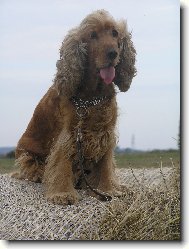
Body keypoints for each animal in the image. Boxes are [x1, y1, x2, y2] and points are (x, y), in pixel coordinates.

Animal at [12, 9, 137, 204]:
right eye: (93, 35)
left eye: (114, 33)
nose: (113, 53)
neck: (93, 95)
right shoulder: (68, 135)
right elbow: (62, 162)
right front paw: (63, 193)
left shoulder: (105, 133)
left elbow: (106, 164)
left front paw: (108, 189)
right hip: (27, 156)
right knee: (32, 171)